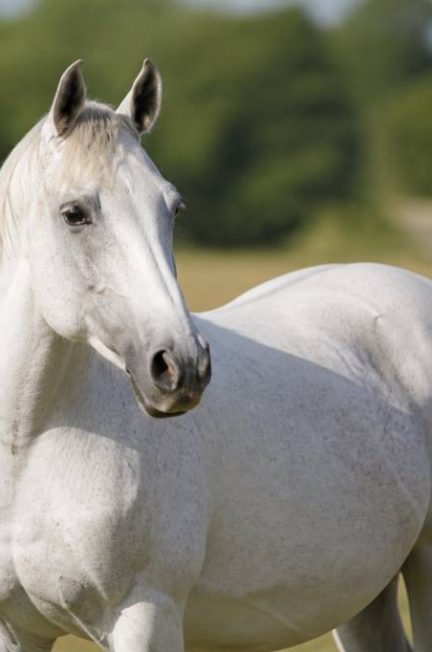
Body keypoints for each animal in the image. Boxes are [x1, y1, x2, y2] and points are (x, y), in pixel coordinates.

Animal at [0, 59, 431, 652]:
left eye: (173, 208)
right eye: (74, 213)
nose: (182, 368)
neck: (30, 447)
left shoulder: (147, 614)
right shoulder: (16, 628)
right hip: (367, 598)